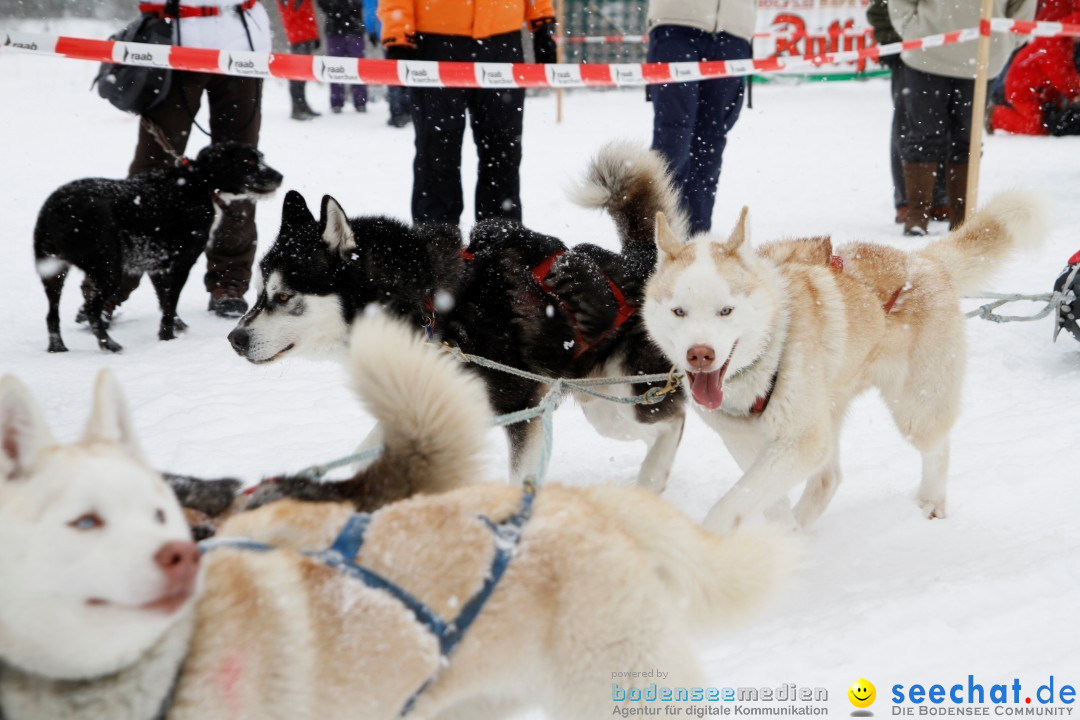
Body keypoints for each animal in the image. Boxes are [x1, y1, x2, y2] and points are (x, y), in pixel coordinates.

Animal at [35, 140, 282, 351]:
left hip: (54, 273)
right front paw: (167, 337)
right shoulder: (180, 264)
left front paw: (177, 328)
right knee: (92, 308)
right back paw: (108, 344)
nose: (280, 176)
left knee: (51, 314)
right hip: (109, 269)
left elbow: (164, 301)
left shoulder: (157, 265)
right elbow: (170, 304)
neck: (199, 183)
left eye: (261, 157)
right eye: (248, 161)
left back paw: (57, 347)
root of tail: (55, 209)